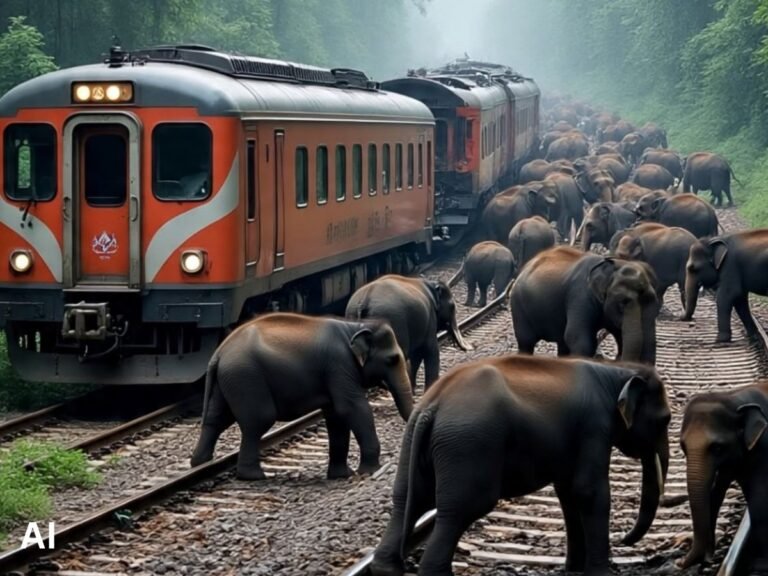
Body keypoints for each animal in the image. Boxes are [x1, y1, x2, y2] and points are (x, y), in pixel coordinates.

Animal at [189, 313, 413, 480]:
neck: (355, 326)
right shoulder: (339, 365)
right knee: (258, 421)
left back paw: (199, 464)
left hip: (228, 381)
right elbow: (352, 408)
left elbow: (336, 415)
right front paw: (370, 471)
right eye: (392, 359)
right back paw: (254, 476)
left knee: (216, 419)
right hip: (246, 378)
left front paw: (342, 475)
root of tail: (218, 353)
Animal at [370, 355, 671, 576]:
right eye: (665, 419)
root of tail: (432, 404)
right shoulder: (594, 426)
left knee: (406, 501)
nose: (625, 540)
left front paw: (573, 569)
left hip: (414, 443)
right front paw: (600, 573)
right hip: (467, 447)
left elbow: (568, 493)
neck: (616, 370)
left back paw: (386, 568)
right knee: (458, 509)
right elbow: (589, 491)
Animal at [510, 246, 659, 364]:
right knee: (527, 341)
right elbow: (578, 338)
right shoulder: (580, 296)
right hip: (518, 305)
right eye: (622, 304)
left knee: (562, 343)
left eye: (653, 304)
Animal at [678, 382, 768, 572]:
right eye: (683, 446)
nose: (679, 562)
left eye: (717, 447)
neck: (733, 399)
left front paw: (762, 564)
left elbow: (759, 497)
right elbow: (715, 493)